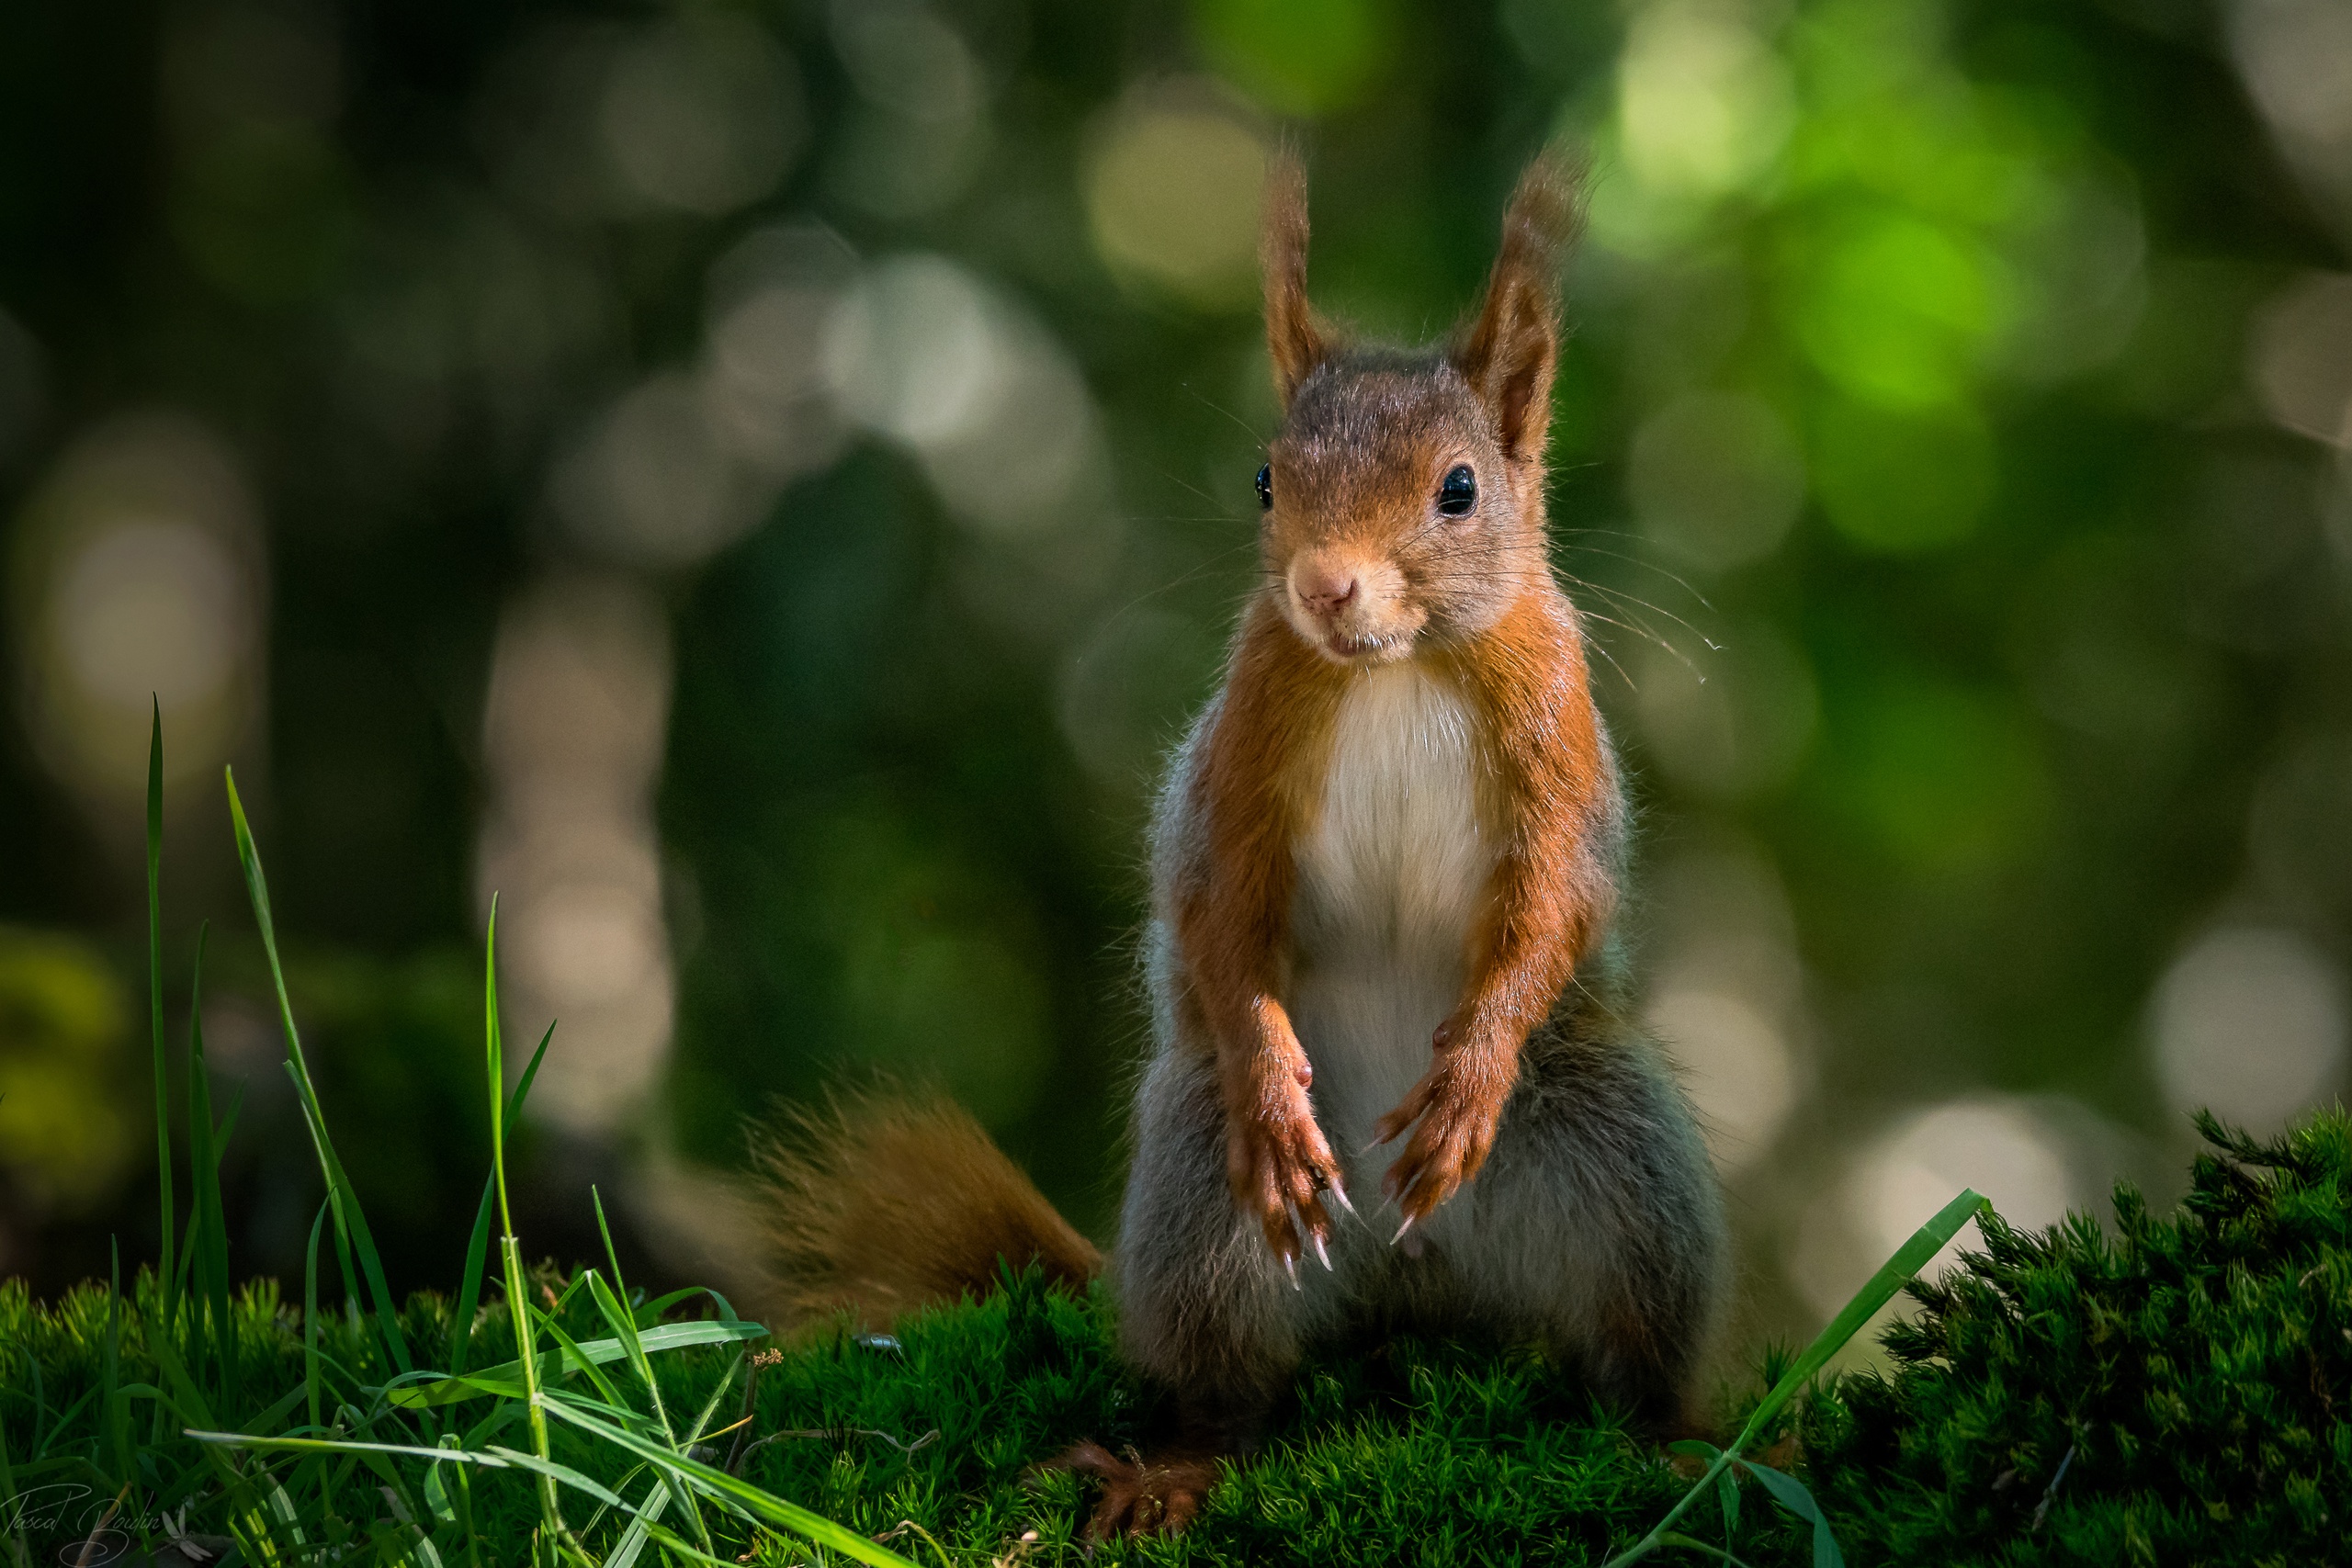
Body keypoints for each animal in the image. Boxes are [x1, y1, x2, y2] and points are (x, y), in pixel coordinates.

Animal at [752, 150, 1731, 1541]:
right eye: (1267, 481)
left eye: (1460, 488)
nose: (1326, 585)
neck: (1393, 668)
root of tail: (1405, 1282)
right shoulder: (1242, 765)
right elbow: (1215, 908)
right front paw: (1276, 1097)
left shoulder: (1559, 752)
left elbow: (1553, 906)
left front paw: (1471, 1075)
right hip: (1197, 1211)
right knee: (1229, 1386)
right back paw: (1176, 1467)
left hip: (1628, 1175)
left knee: (1626, 1359)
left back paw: (1673, 1443)